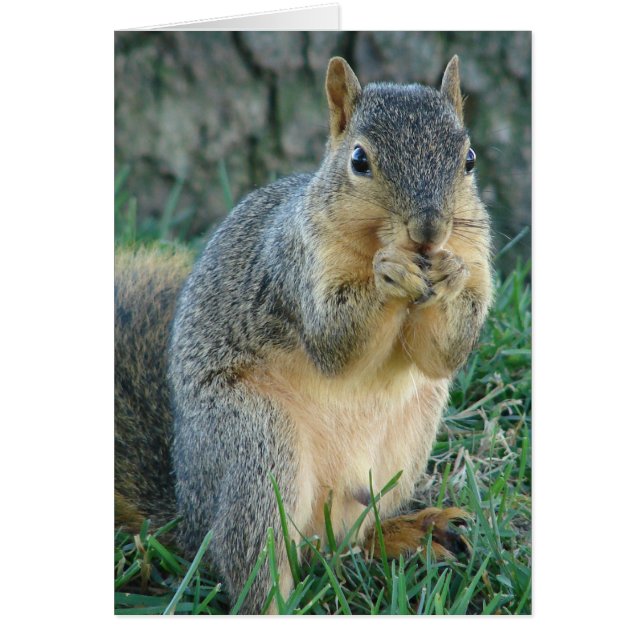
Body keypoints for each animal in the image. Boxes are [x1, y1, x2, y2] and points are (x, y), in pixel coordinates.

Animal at [115, 55, 492, 614]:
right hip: (256, 446)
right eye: (359, 160)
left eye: (468, 158)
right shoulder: (294, 263)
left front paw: (449, 274)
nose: (428, 232)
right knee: (254, 561)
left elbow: (442, 356)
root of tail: (191, 512)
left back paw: (411, 533)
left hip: (408, 440)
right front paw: (390, 272)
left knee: (346, 542)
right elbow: (336, 343)